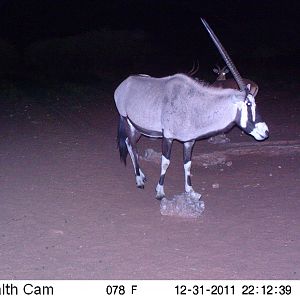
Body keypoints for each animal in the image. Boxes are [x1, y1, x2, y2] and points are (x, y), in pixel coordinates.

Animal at [115, 19, 270, 200]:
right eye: (248, 104)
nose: (265, 132)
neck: (194, 104)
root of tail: (124, 84)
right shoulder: (168, 137)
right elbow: (165, 162)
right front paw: (160, 192)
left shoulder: (189, 141)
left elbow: (187, 164)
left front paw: (190, 191)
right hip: (126, 120)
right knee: (131, 144)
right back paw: (139, 180)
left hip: (138, 127)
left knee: (131, 144)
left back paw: (142, 176)